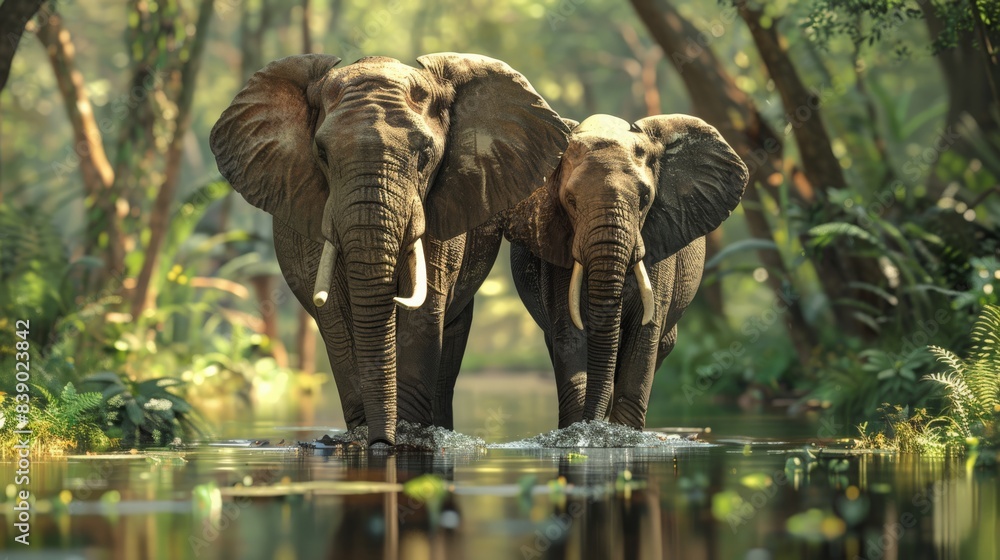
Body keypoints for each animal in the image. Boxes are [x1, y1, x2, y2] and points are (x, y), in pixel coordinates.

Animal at [210, 53, 570, 445]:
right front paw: (365, 439)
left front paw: (404, 439)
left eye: (425, 154)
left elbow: (423, 310)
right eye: (322, 153)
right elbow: (336, 313)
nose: (382, 441)